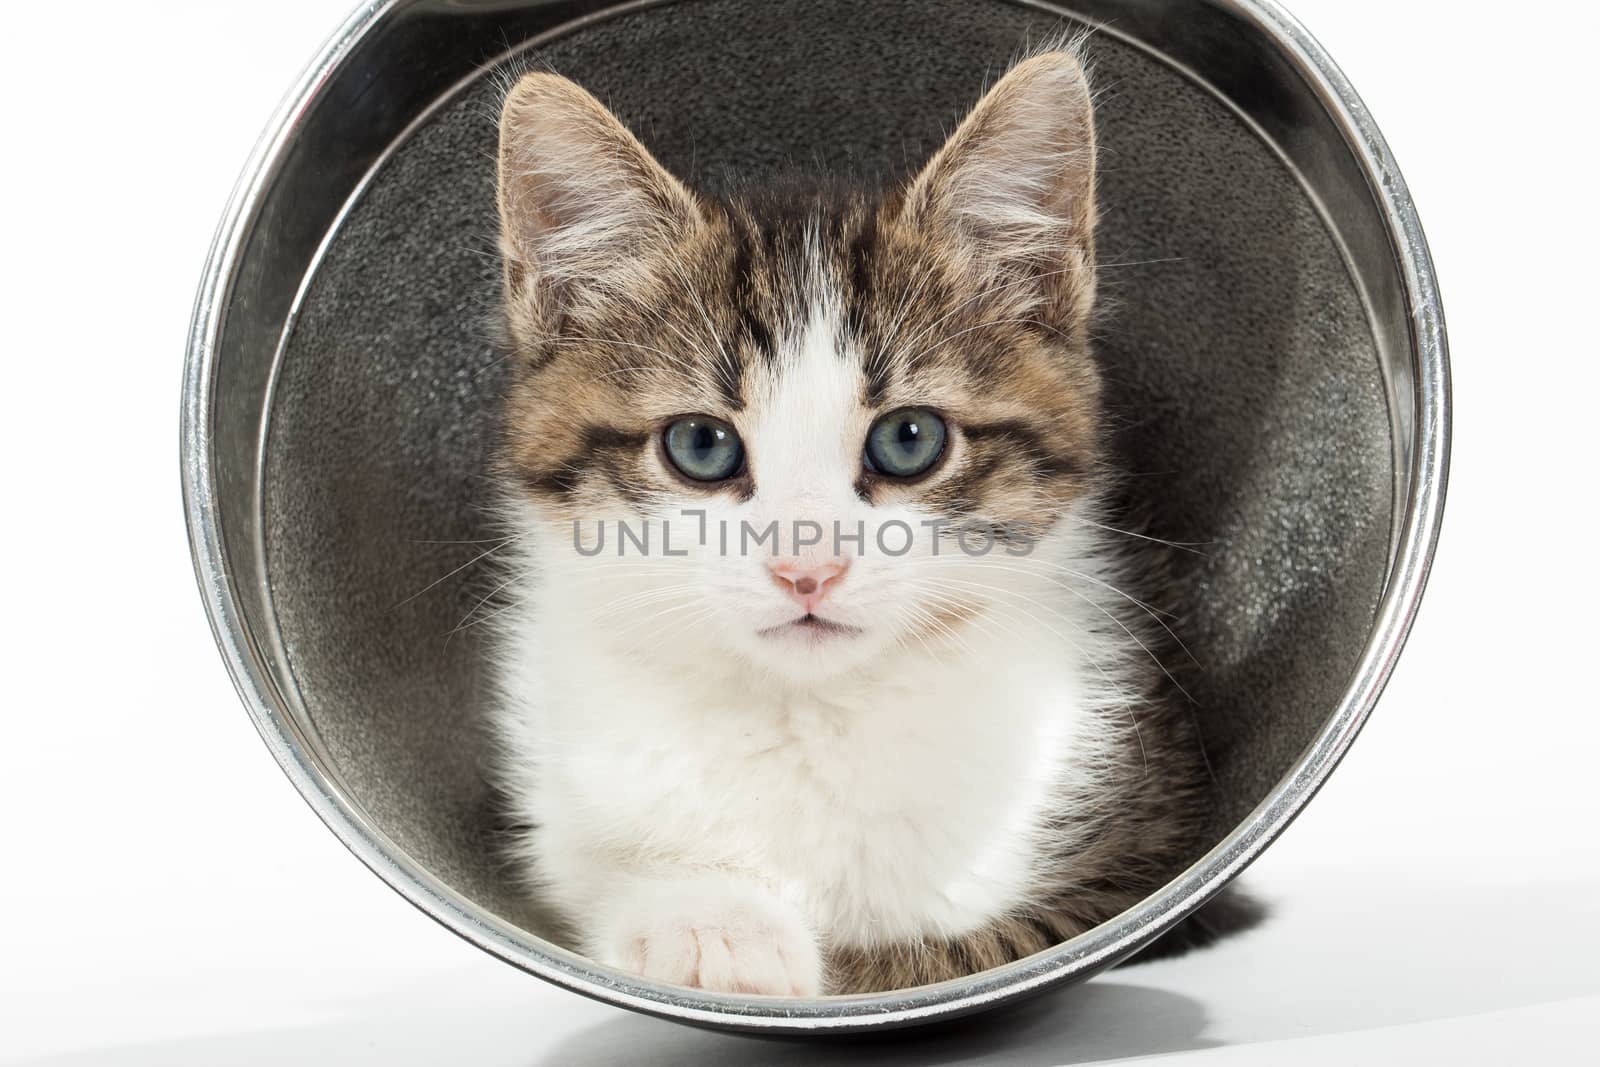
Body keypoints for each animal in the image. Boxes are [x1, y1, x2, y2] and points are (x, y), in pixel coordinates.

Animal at [486, 49, 1235, 998]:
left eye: (909, 438)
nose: (807, 569)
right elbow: (593, 873)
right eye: (700, 444)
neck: (809, 714)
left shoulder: (1134, 857)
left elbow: (943, 951)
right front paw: (711, 925)